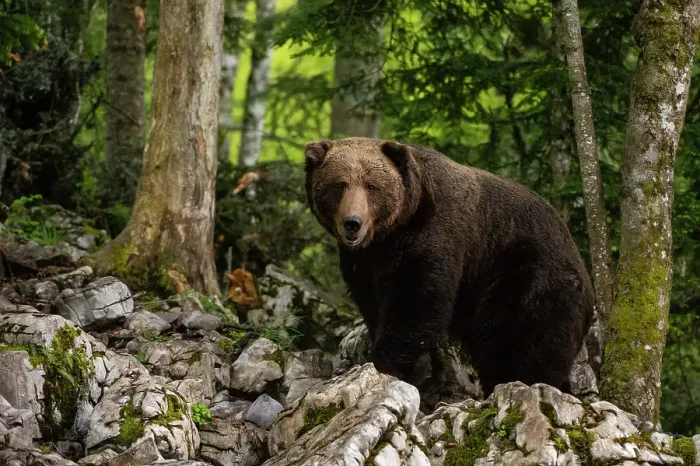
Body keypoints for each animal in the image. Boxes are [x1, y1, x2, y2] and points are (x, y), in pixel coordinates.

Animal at [304, 137, 595, 396]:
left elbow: (417, 303)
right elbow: (372, 303)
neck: (391, 233)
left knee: (524, 341)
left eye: (371, 185)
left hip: (529, 276)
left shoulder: (434, 235)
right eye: (339, 184)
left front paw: (381, 362)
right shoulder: (364, 261)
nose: (353, 223)